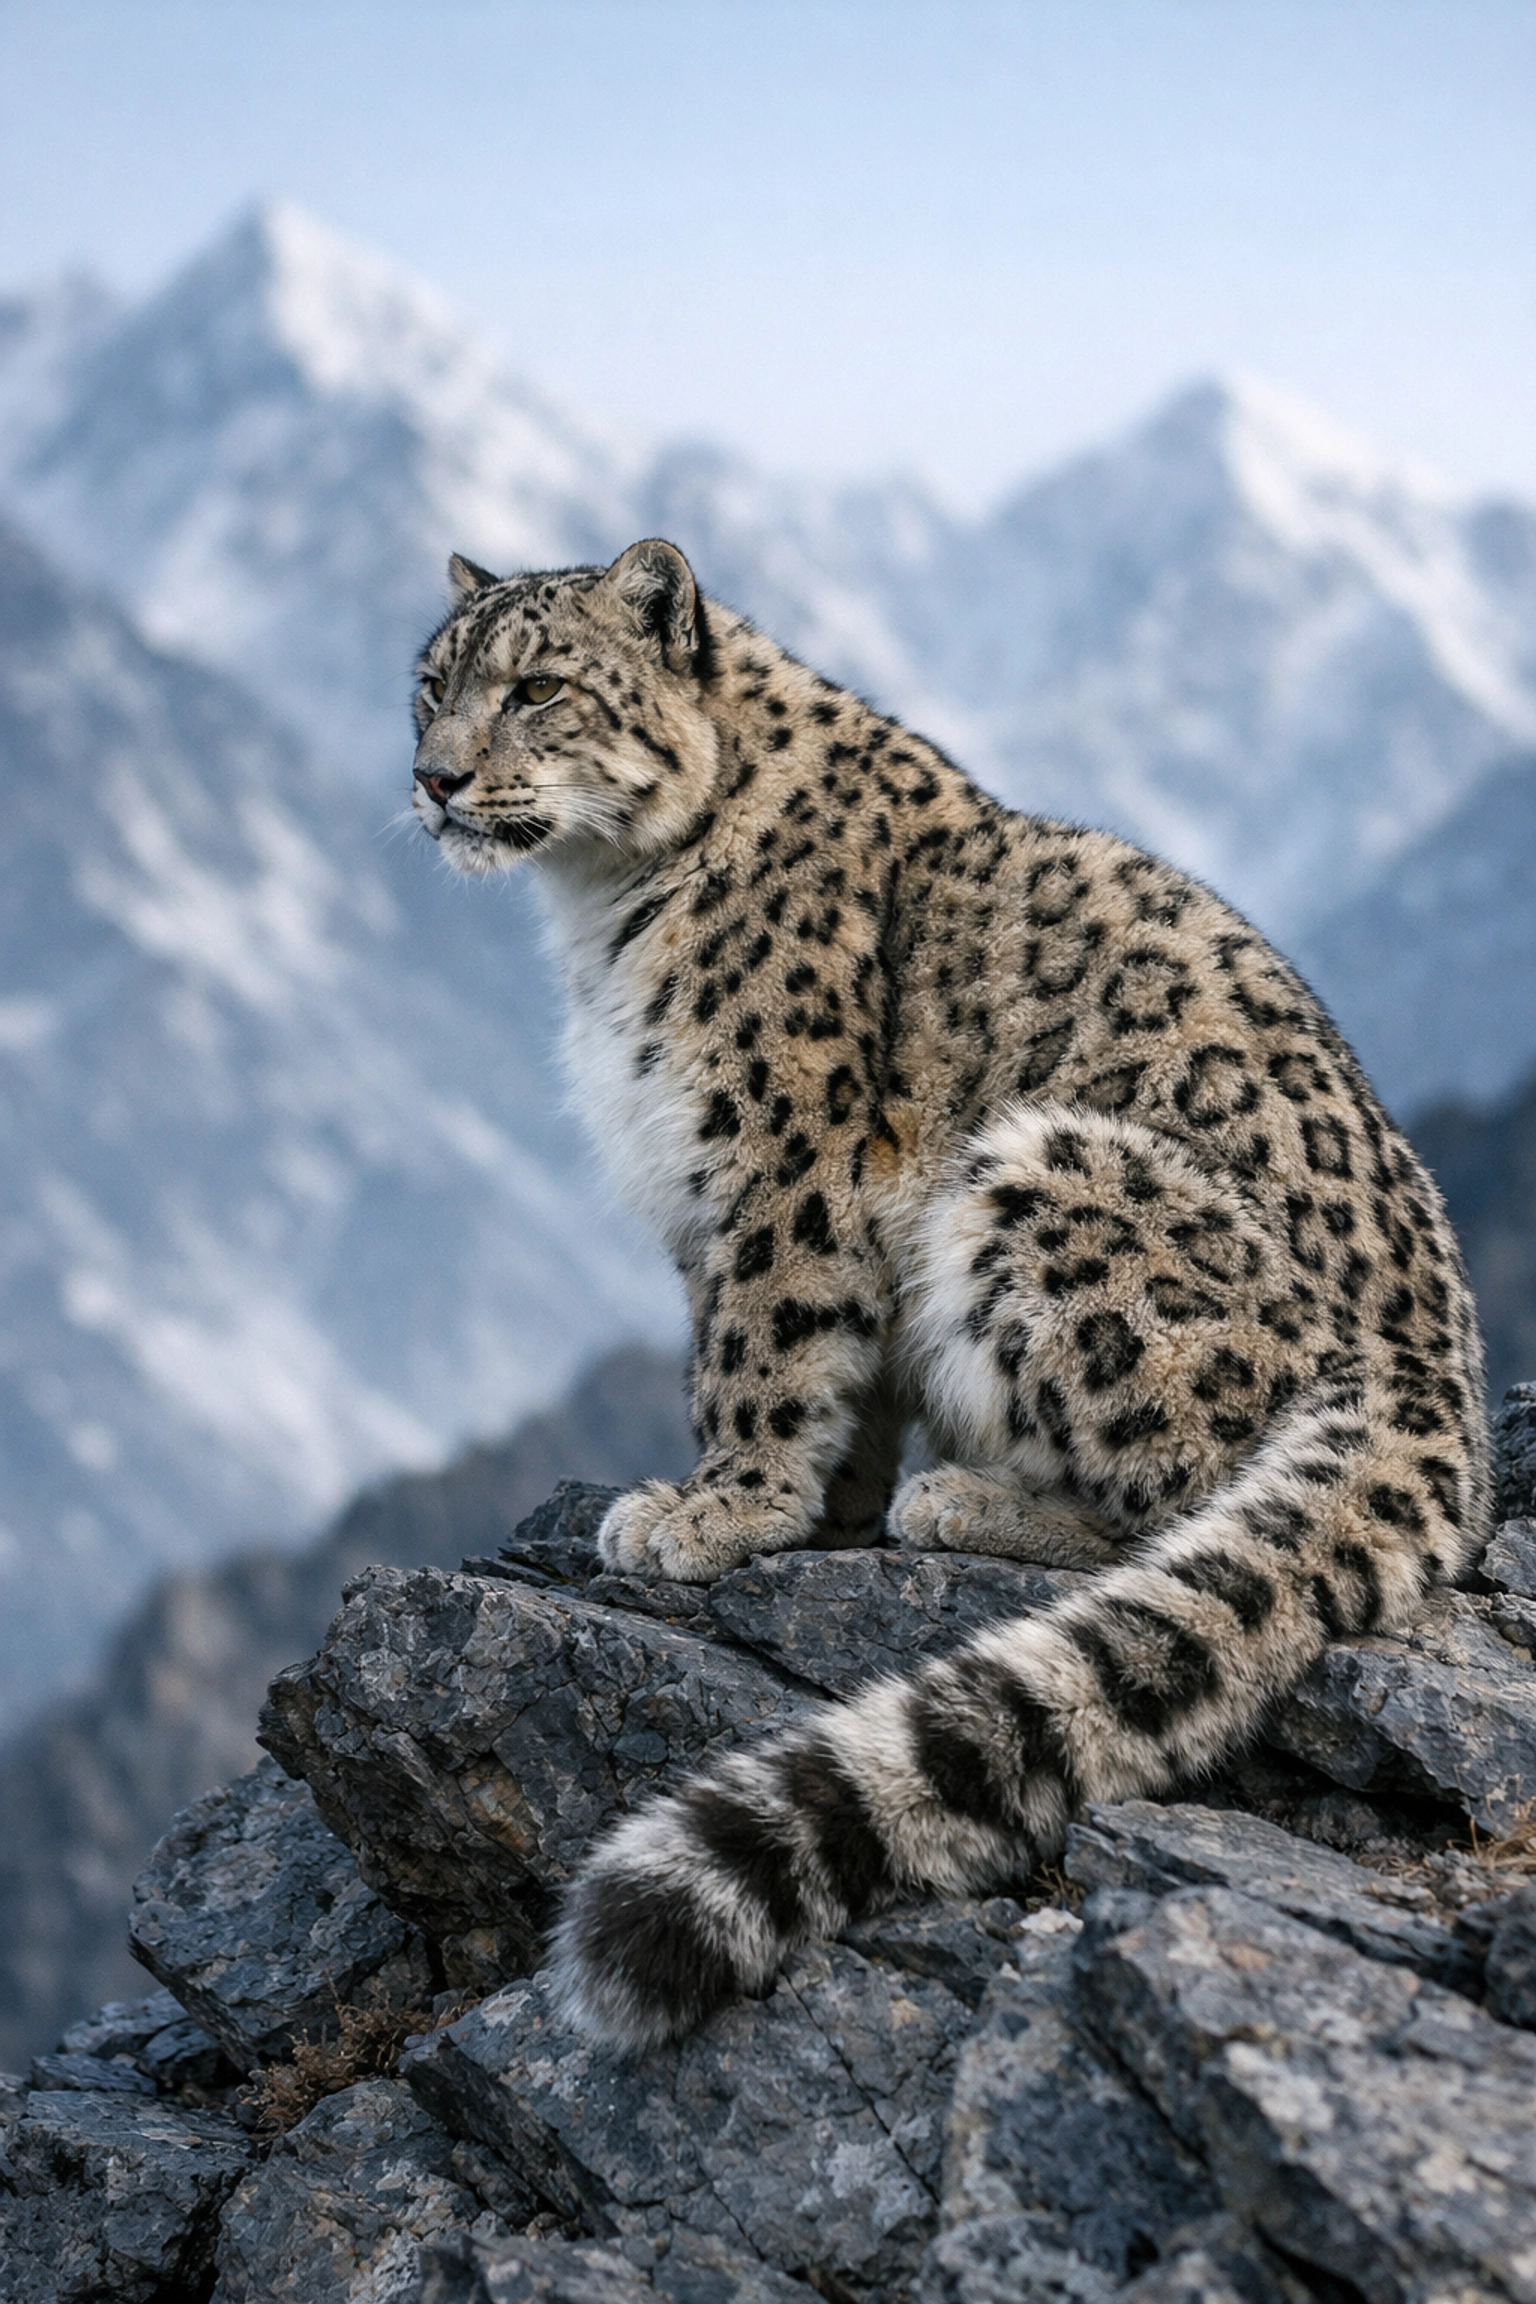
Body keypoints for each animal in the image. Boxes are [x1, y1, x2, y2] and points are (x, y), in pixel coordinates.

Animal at [410, 537, 1489, 2051]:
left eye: (540, 687)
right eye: (431, 685)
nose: (435, 779)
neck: (600, 908)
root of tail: (1433, 1376)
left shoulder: (778, 1150)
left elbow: (760, 1343)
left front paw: (718, 1508)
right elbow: (825, 1376)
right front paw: (821, 1508)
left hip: (1041, 1177)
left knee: (1176, 1492)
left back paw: (966, 1498)